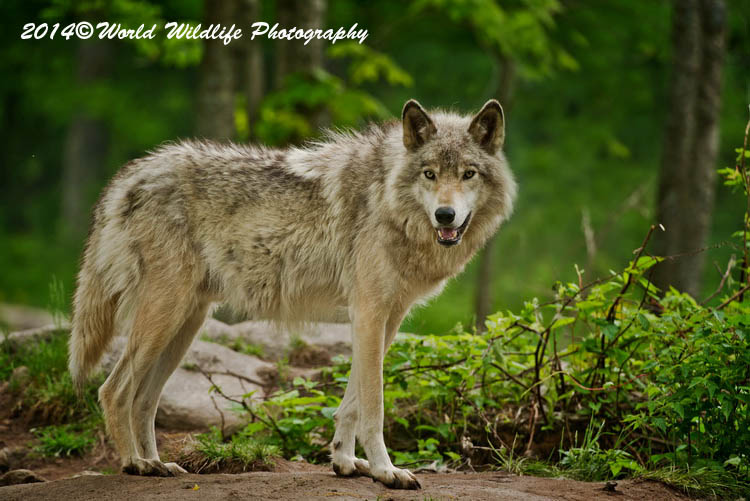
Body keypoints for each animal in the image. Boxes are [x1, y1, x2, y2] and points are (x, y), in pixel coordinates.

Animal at [68, 99, 516, 489]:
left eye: (468, 174)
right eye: (429, 174)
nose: (445, 215)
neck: (388, 199)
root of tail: (132, 171)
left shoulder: (385, 321)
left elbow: (351, 402)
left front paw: (345, 461)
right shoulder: (369, 315)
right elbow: (374, 407)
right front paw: (386, 471)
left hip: (184, 327)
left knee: (144, 400)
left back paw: (158, 464)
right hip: (165, 317)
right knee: (113, 390)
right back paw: (135, 464)